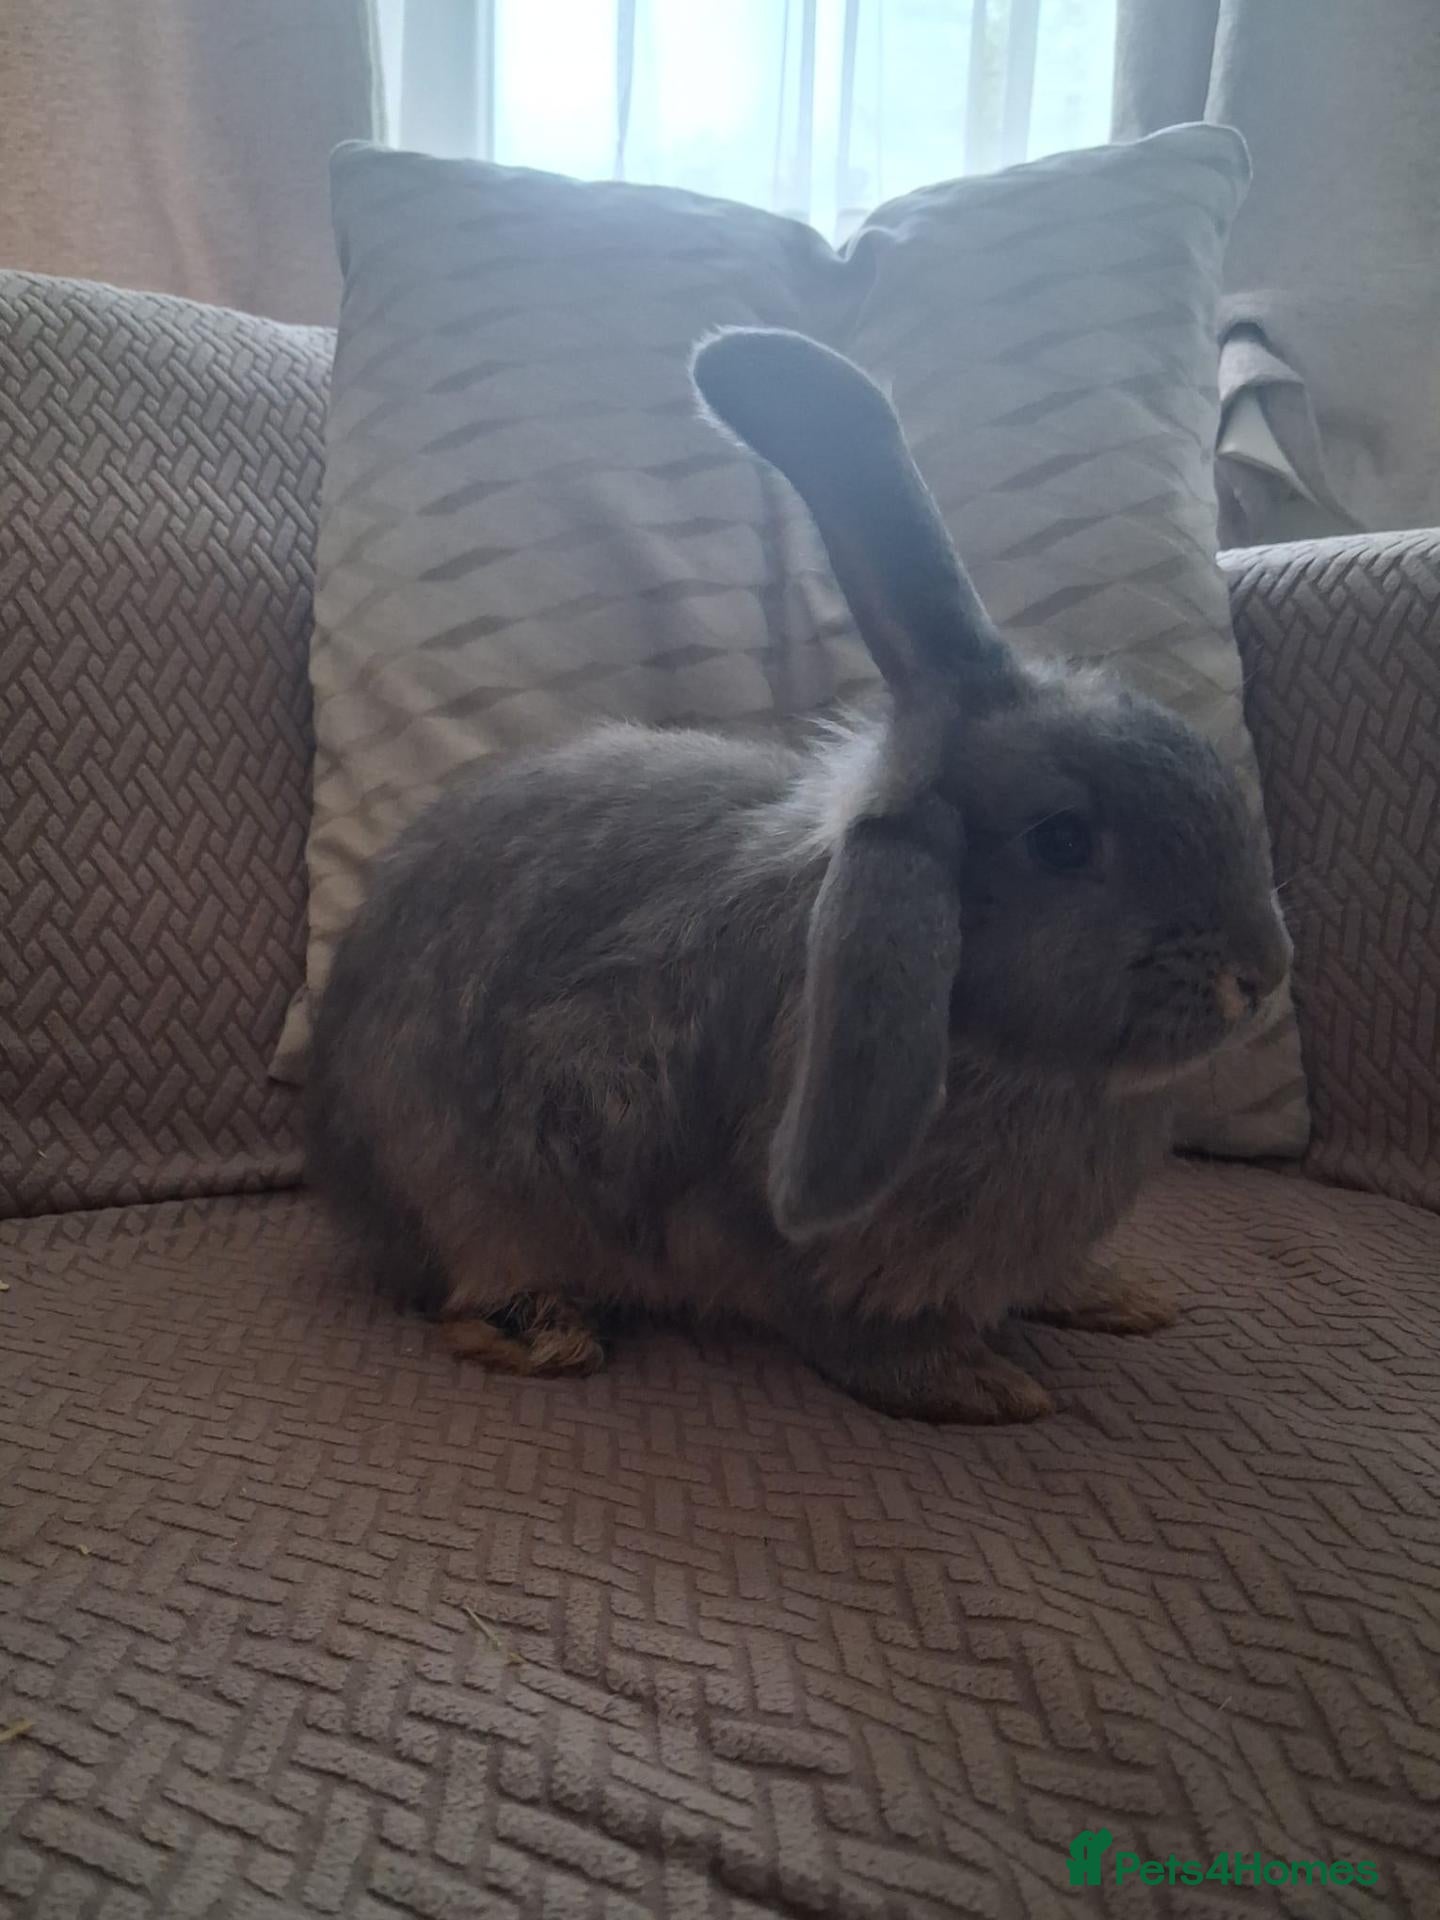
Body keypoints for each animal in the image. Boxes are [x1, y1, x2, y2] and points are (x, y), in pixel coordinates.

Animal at [305, 327, 1291, 1423]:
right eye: (1064, 841)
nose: (1263, 973)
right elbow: (846, 1329)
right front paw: (980, 1386)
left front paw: (1119, 1298)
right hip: (477, 1198)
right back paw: (551, 1334)